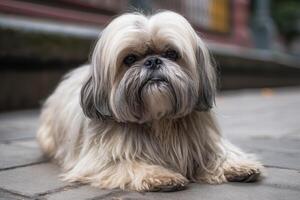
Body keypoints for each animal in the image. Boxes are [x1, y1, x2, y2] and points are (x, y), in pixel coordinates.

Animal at [37, 11, 262, 192]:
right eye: (129, 59)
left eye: (171, 53)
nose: (153, 61)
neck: (158, 120)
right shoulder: (101, 161)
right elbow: (130, 163)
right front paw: (161, 176)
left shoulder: (205, 142)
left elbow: (221, 152)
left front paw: (238, 165)